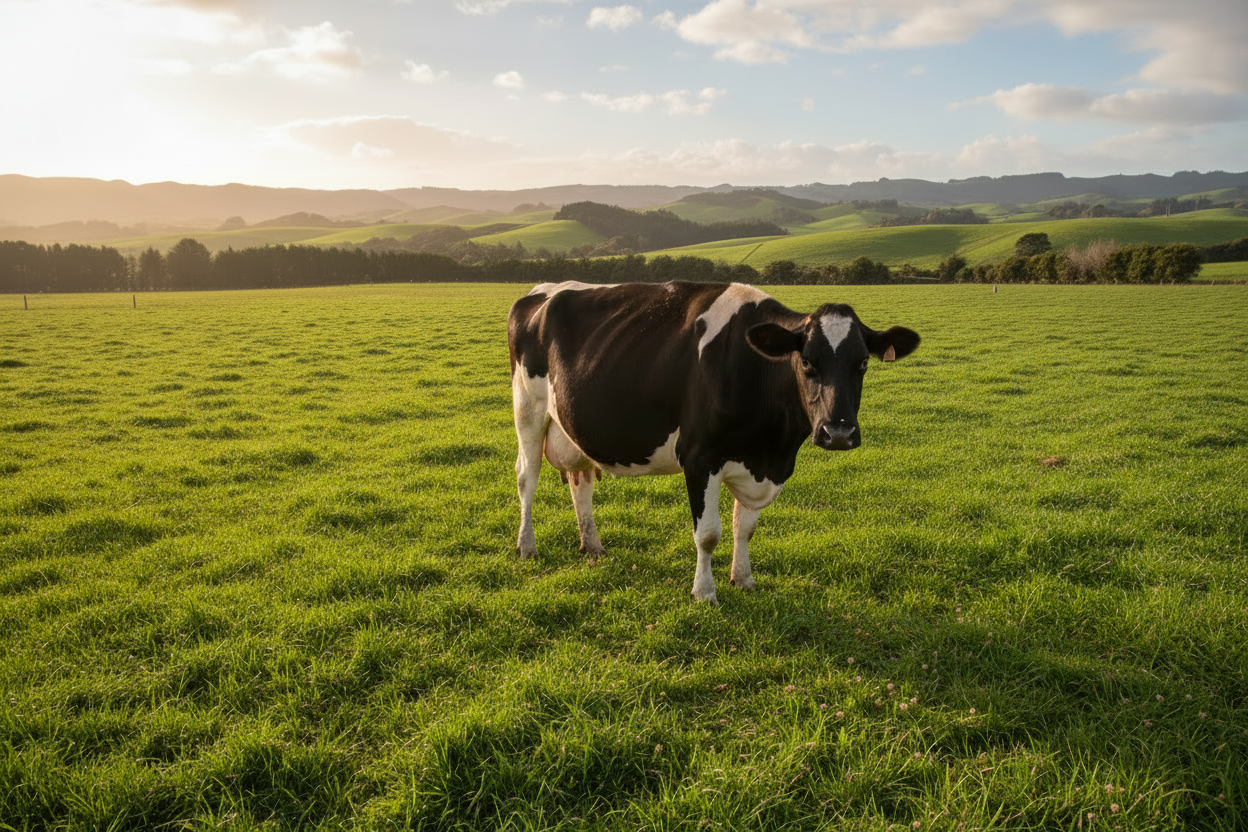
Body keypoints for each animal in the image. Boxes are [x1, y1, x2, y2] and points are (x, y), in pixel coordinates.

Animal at [507, 280, 920, 604]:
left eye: (862, 363)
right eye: (806, 361)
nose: (838, 433)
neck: (773, 447)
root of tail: (542, 291)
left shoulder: (760, 465)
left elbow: (745, 527)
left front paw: (744, 578)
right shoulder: (699, 458)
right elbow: (707, 534)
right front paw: (705, 592)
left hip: (572, 428)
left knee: (580, 482)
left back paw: (592, 545)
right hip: (527, 408)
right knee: (527, 477)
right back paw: (526, 546)